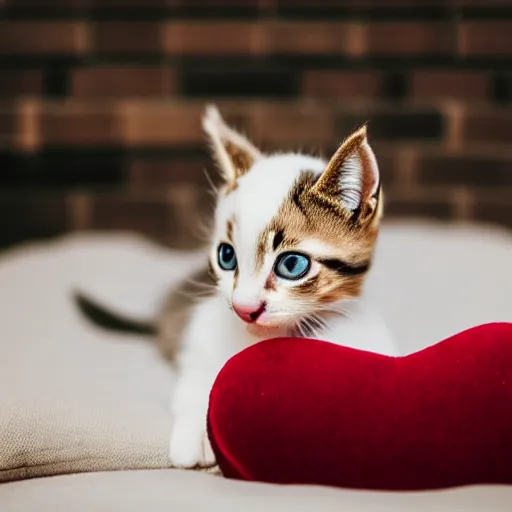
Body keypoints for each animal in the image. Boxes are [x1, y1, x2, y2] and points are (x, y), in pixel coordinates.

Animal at [74, 106, 398, 470]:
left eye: (292, 265)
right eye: (226, 256)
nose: (245, 308)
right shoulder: (197, 339)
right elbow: (196, 382)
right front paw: (195, 432)